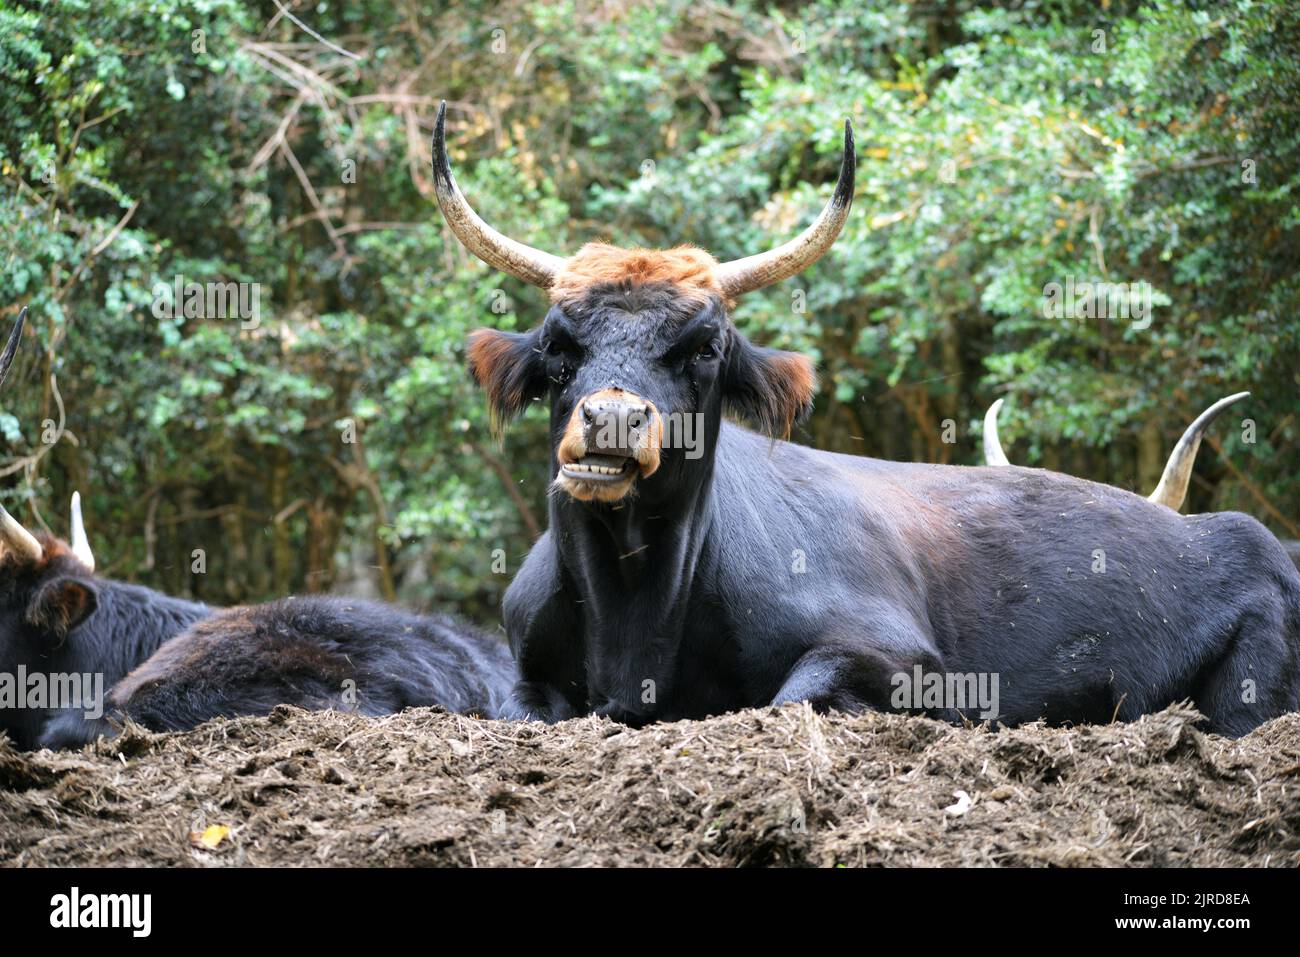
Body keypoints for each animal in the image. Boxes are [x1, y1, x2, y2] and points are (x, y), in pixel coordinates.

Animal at [428, 102, 1300, 733]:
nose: (612, 419)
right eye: (557, 345)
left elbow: (791, 699)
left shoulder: (901, 655)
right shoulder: (521, 673)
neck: (634, 608)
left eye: (706, 346)